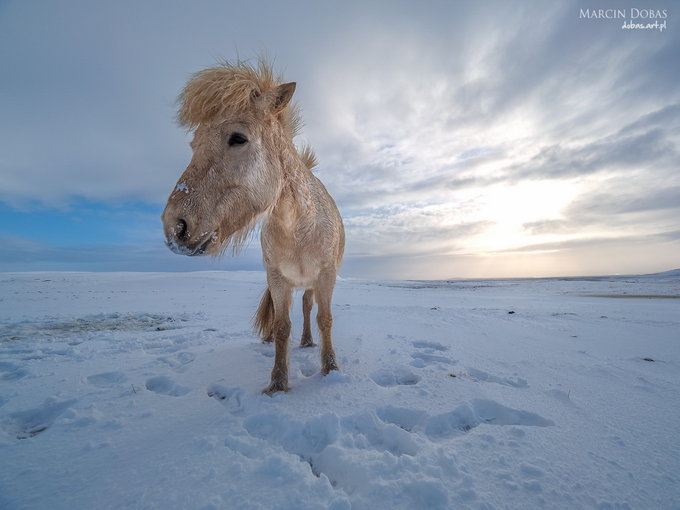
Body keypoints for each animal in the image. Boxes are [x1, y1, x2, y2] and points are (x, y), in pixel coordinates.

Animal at [161, 59, 346, 394]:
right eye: (194, 144)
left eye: (238, 138)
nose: (174, 227)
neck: (299, 227)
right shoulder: (277, 279)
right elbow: (282, 325)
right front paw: (277, 384)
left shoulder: (326, 277)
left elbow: (325, 319)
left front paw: (331, 370)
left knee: (308, 308)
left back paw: (308, 342)